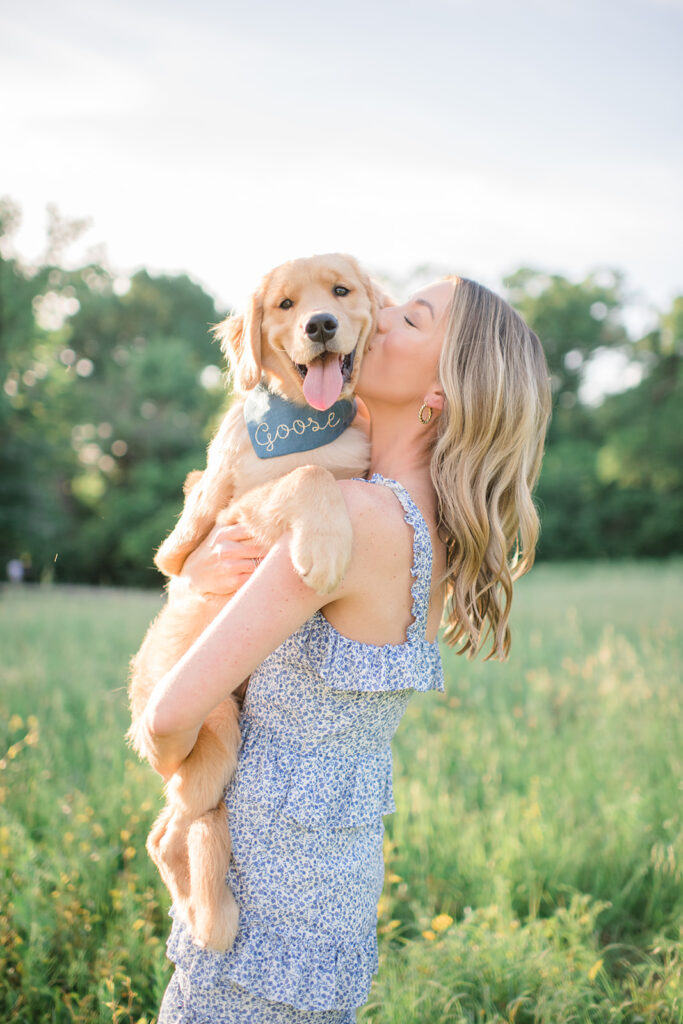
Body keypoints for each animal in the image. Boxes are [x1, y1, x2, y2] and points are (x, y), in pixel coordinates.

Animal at [127, 253, 378, 950]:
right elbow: (306, 477)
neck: (303, 427)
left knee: (172, 829)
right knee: (171, 829)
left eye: (340, 292)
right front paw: (326, 543)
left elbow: (327, 475)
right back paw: (211, 916)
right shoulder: (229, 512)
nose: (320, 325)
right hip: (211, 731)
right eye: (286, 306)